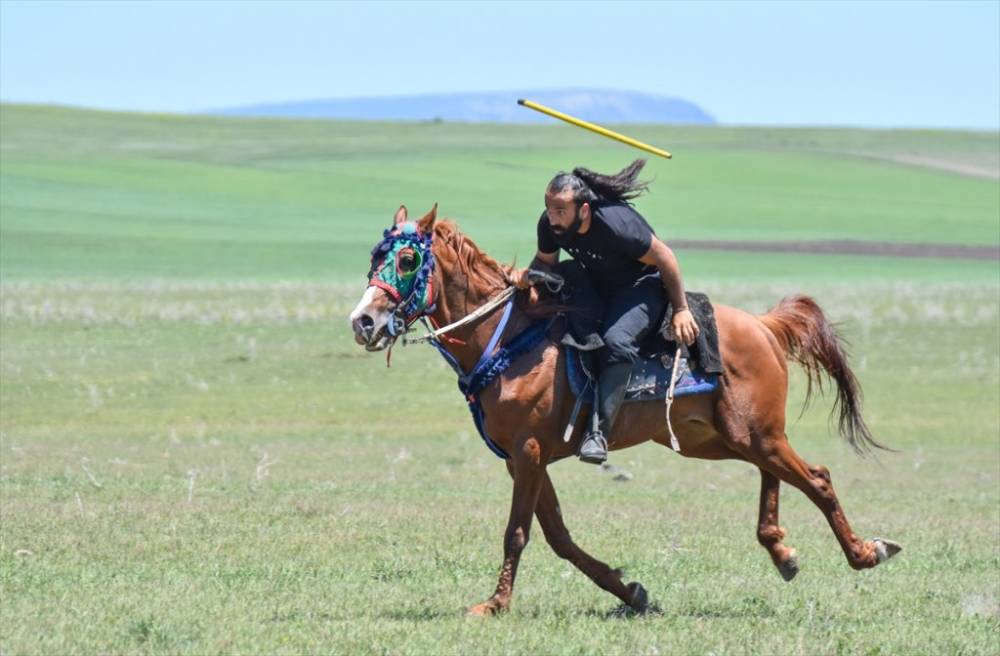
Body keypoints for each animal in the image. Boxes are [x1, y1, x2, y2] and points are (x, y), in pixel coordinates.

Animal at [348, 204, 904, 616]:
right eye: (375, 256)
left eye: (407, 261)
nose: (364, 321)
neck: (506, 339)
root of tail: (764, 325)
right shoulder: (523, 459)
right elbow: (558, 536)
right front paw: (630, 591)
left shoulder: (529, 453)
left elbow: (518, 533)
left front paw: (495, 604)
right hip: (721, 438)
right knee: (777, 473)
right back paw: (781, 550)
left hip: (752, 434)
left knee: (818, 478)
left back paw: (865, 552)